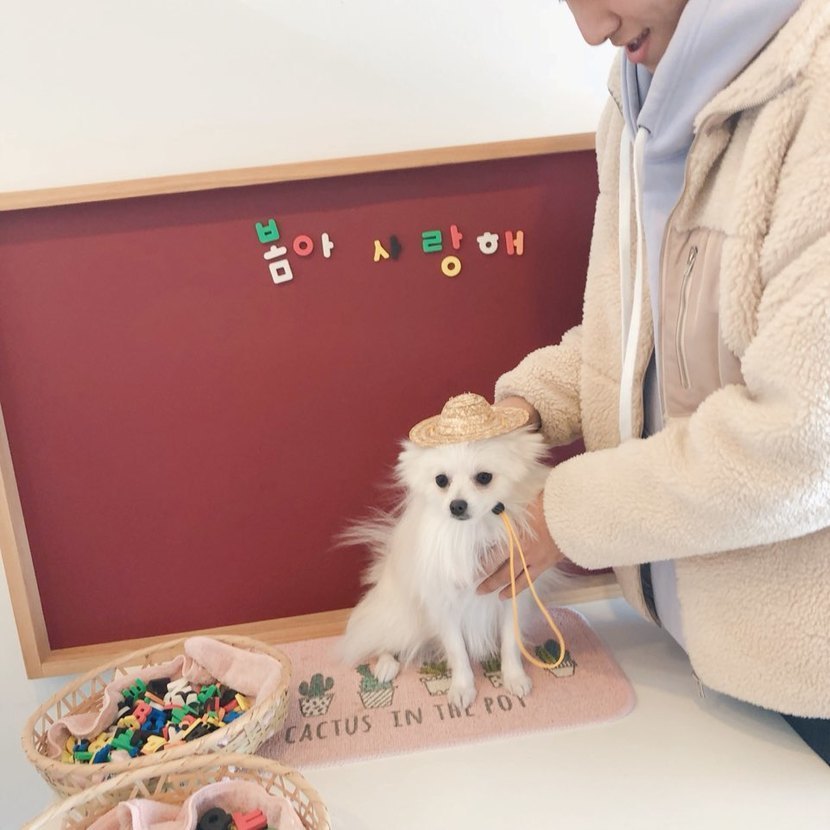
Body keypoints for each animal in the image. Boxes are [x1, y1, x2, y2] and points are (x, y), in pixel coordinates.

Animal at [339, 401, 557, 710]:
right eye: (441, 480)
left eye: (484, 478)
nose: (457, 505)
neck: (473, 533)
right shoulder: (444, 605)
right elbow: (457, 651)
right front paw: (463, 687)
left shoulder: (510, 594)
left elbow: (509, 642)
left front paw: (513, 677)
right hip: (404, 621)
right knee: (379, 638)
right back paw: (385, 664)